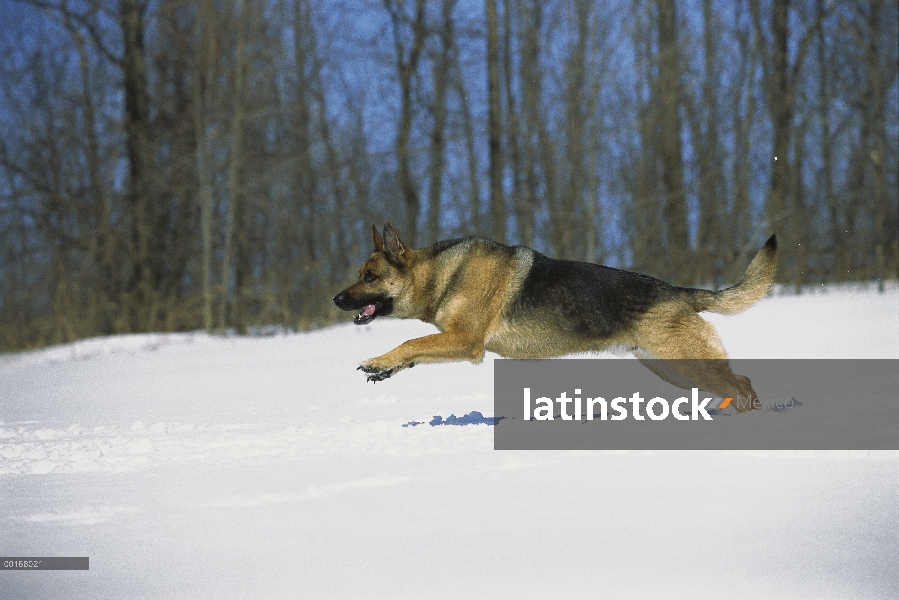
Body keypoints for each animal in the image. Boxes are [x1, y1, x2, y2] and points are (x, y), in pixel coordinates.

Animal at [334, 223, 776, 410]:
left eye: (370, 277)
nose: (336, 299)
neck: (441, 274)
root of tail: (681, 292)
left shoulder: (464, 341)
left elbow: (410, 341)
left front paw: (378, 360)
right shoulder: (452, 340)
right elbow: (414, 350)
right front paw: (385, 368)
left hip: (685, 362)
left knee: (742, 383)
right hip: (671, 369)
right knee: (736, 384)